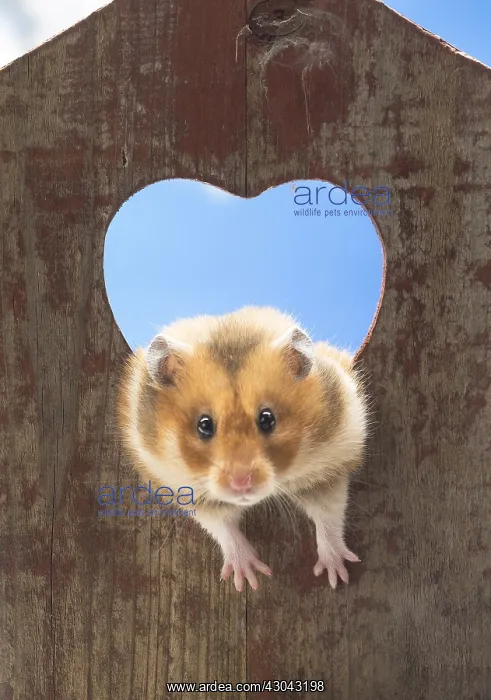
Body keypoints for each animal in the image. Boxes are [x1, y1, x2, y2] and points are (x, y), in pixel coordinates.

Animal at [116, 306, 369, 592]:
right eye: (204, 425)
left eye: (267, 419)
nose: (241, 483)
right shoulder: (192, 493)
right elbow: (223, 527)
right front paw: (250, 579)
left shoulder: (327, 471)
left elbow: (328, 516)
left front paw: (338, 576)